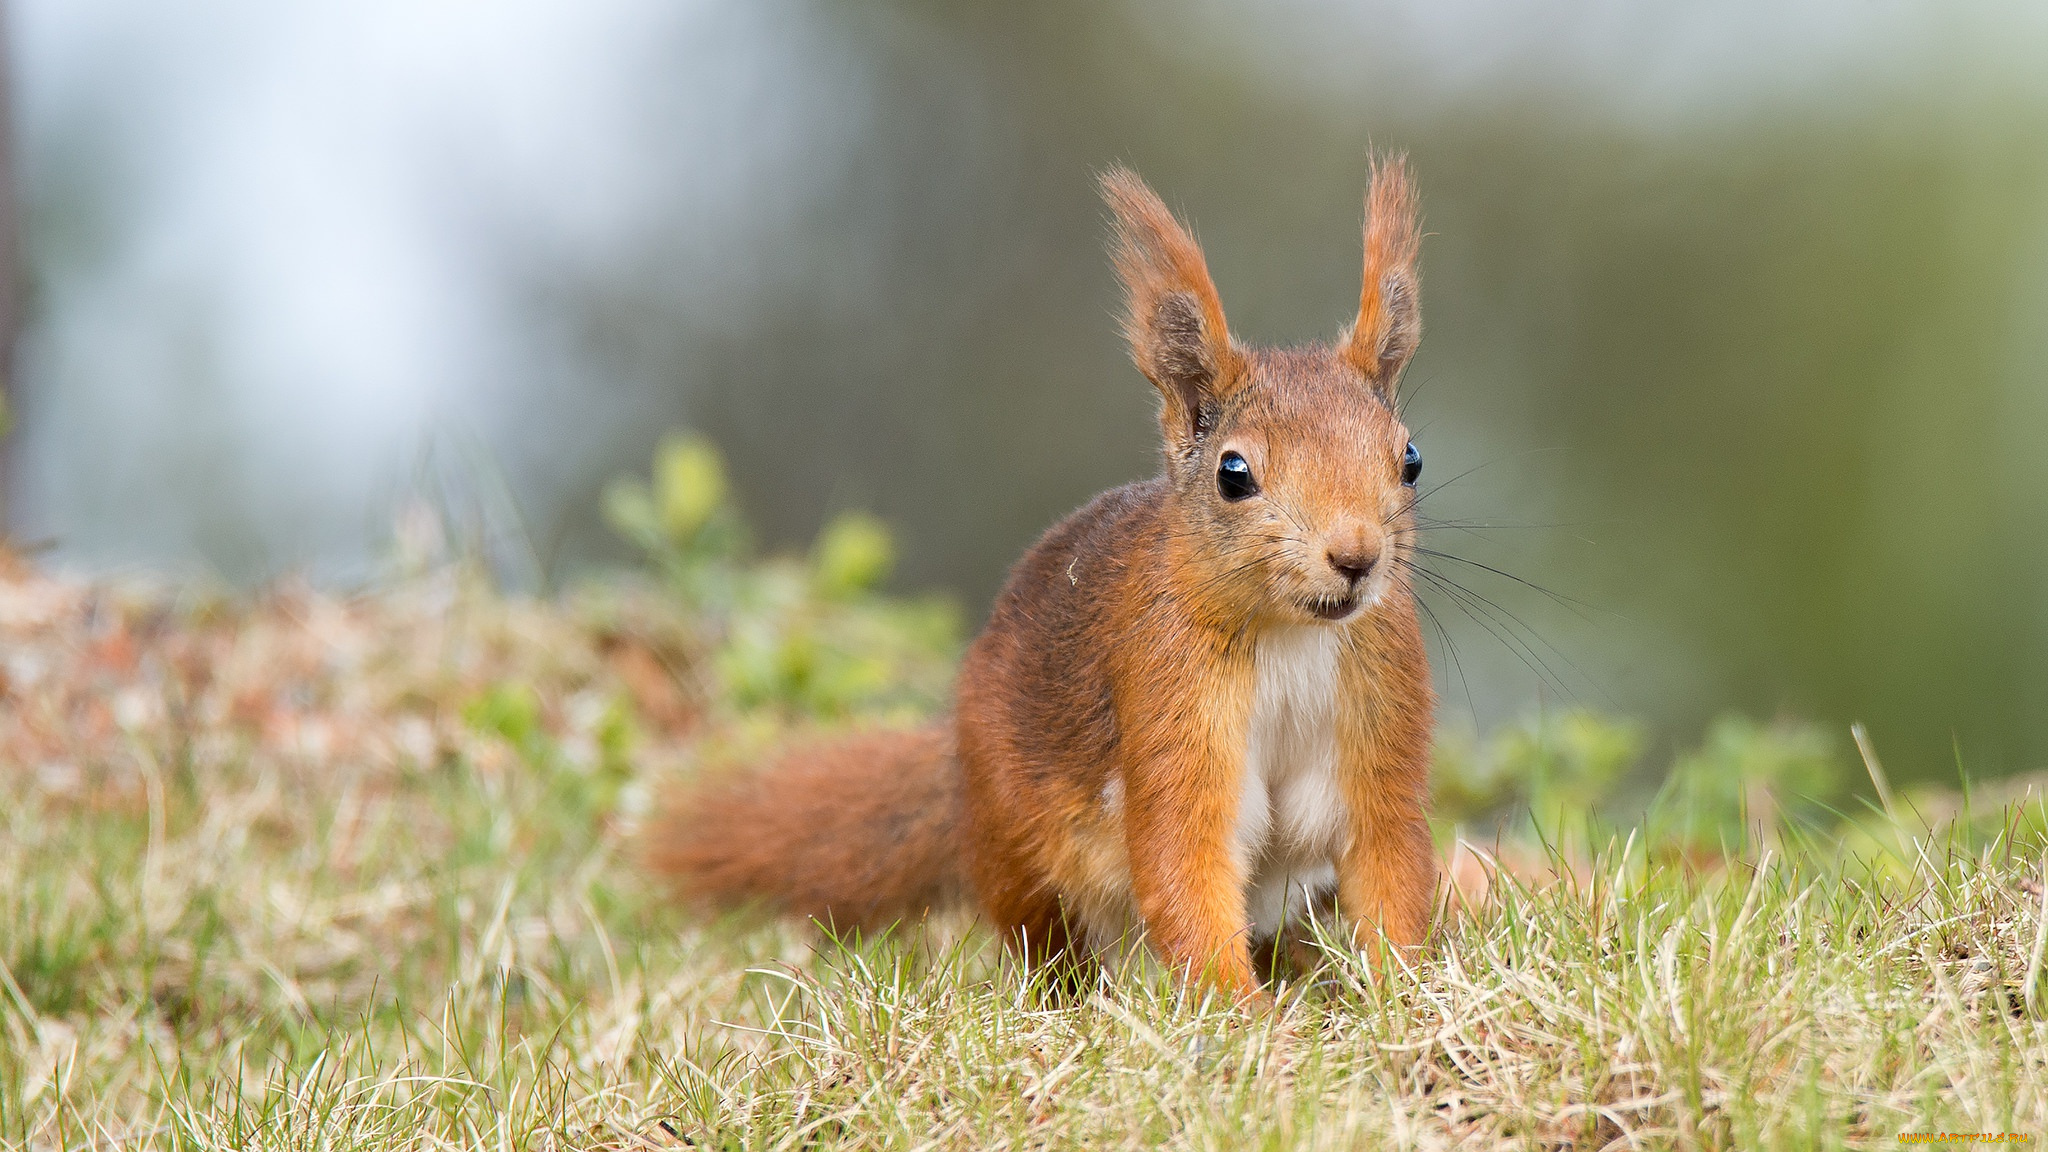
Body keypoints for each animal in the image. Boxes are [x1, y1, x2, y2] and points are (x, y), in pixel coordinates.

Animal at [647, 158, 1433, 996]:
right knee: (1046, 938)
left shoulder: (1382, 711)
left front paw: (1402, 994)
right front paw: (1246, 1015)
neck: (1291, 634)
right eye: (1234, 474)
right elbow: (1184, 866)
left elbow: (1389, 859)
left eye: (1410, 459)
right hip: (1018, 843)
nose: (1356, 557)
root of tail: (956, 768)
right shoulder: (1168, 700)